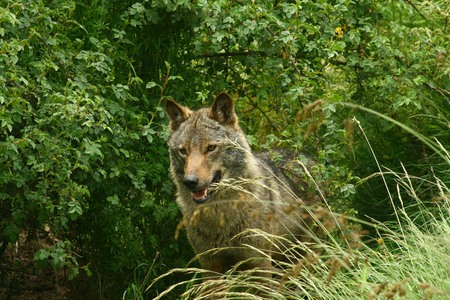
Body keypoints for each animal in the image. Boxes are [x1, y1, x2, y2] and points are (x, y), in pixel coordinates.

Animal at [166, 92, 320, 278]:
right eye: (183, 151)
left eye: (211, 148)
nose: (190, 181)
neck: (220, 216)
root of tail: (307, 157)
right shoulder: (210, 267)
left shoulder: (259, 264)